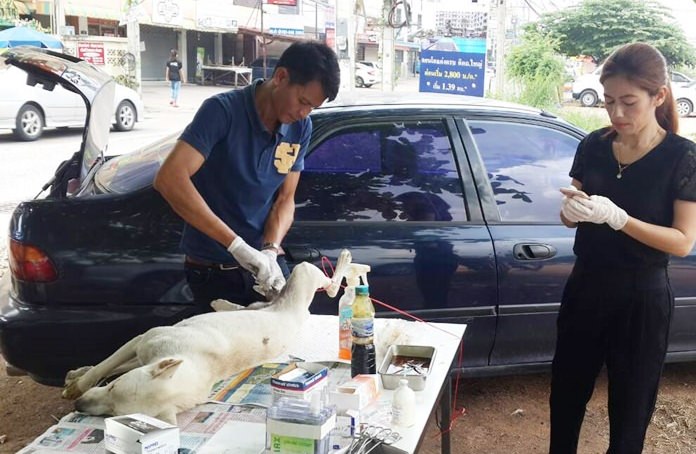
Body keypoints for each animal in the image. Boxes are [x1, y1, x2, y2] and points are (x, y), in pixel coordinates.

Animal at [62, 252, 350, 426]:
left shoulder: (146, 343)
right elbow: (108, 365)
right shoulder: (144, 343)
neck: (195, 364)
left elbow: (110, 365)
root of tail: (290, 313)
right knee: (259, 299)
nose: (78, 405)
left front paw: (78, 384)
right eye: (112, 387)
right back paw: (232, 299)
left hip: (304, 275)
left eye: (113, 414)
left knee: (331, 287)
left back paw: (345, 260)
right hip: (266, 300)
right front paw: (79, 377)